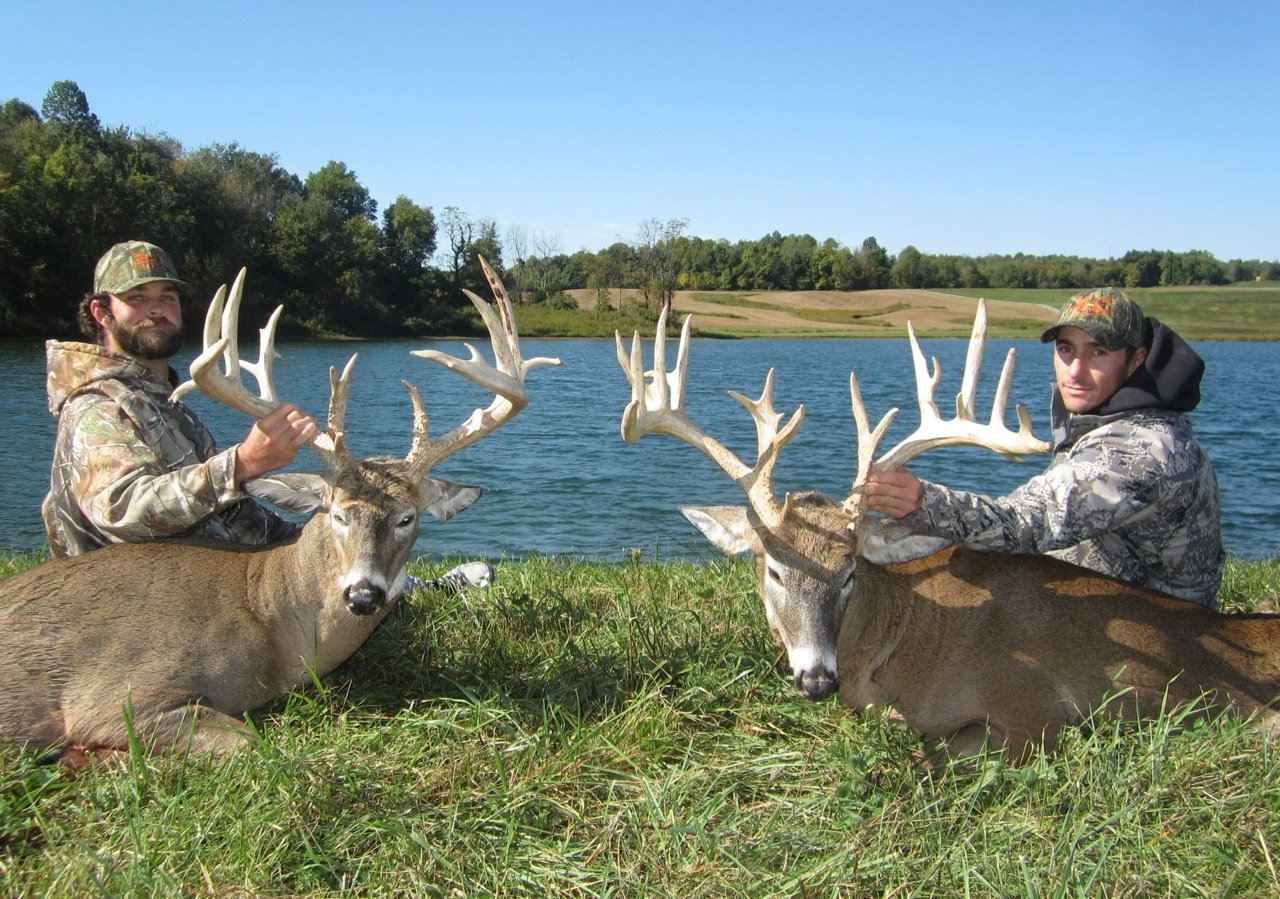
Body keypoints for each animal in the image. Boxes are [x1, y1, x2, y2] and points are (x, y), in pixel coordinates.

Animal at [0, 257, 560, 759]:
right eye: (336, 513)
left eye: (407, 517)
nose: (364, 595)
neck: (271, 625)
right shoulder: (116, 694)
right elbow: (257, 745)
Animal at [616, 303, 1280, 763]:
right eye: (775, 570)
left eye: (850, 573)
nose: (817, 679)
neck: (899, 644)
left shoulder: (1034, 714)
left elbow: (936, 747)